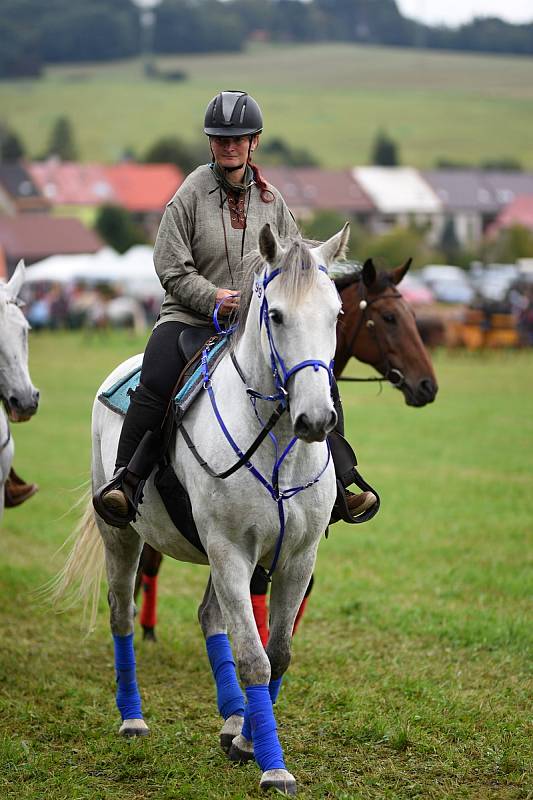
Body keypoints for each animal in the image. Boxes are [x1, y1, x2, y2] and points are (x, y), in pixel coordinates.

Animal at [59, 223, 350, 792]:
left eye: (336, 314)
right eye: (276, 315)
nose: (315, 419)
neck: (277, 446)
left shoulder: (296, 558)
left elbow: (278, 652)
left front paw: (247, 740)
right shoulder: (231, 552)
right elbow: (254, 658)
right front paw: (272, 766)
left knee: (208, 617)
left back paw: (235, 718)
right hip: (121, 534)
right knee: (122, 614)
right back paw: (132, 717)